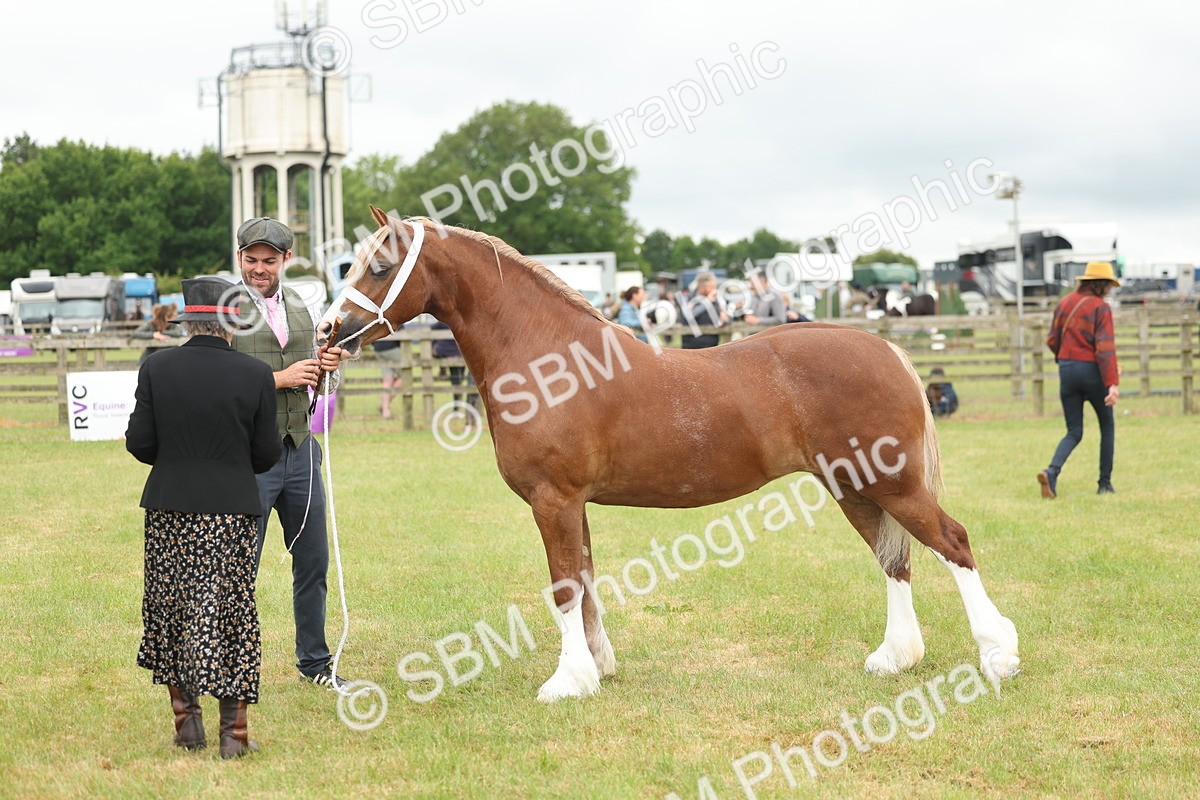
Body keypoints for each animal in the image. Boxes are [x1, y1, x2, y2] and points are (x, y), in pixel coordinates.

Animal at [317, 207, 1020, 702]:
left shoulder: (552, 500)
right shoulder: (574, 505)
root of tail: (886, 350)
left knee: (952, 542)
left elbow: (564, 586)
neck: (547, 358)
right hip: (856, 488)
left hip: (894, 483)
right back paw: (894, 658)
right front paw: (598, 668)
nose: (327, 330)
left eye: (378, 267)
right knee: (894, 560)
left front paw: (566, 682)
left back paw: (997, 655)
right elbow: (587, 580)